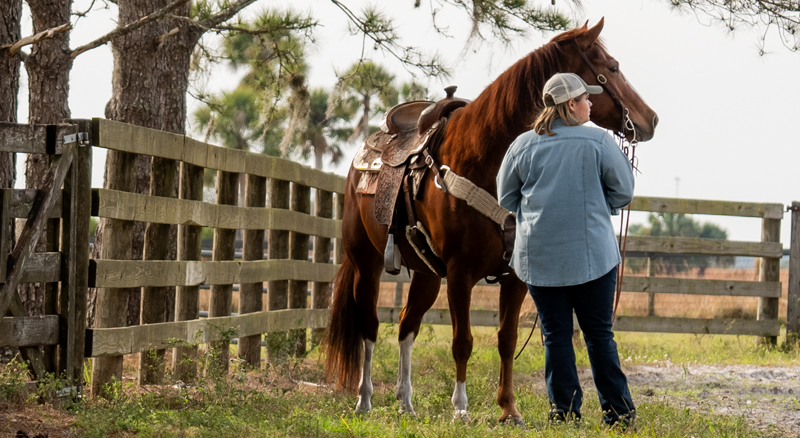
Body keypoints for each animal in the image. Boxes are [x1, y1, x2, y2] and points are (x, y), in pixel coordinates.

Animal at [322, 18, 658, 424]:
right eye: (612, 67)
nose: (650, 119)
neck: (482, 161)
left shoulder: (513, 278)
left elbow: (506, 340)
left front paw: (509, 409)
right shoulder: (460, 274)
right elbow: (462, 342)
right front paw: (460, 408)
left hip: (425, 275)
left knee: (406, 326)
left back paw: (406, 402)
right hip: (366, 263)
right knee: (369, 326)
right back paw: (365, 399)